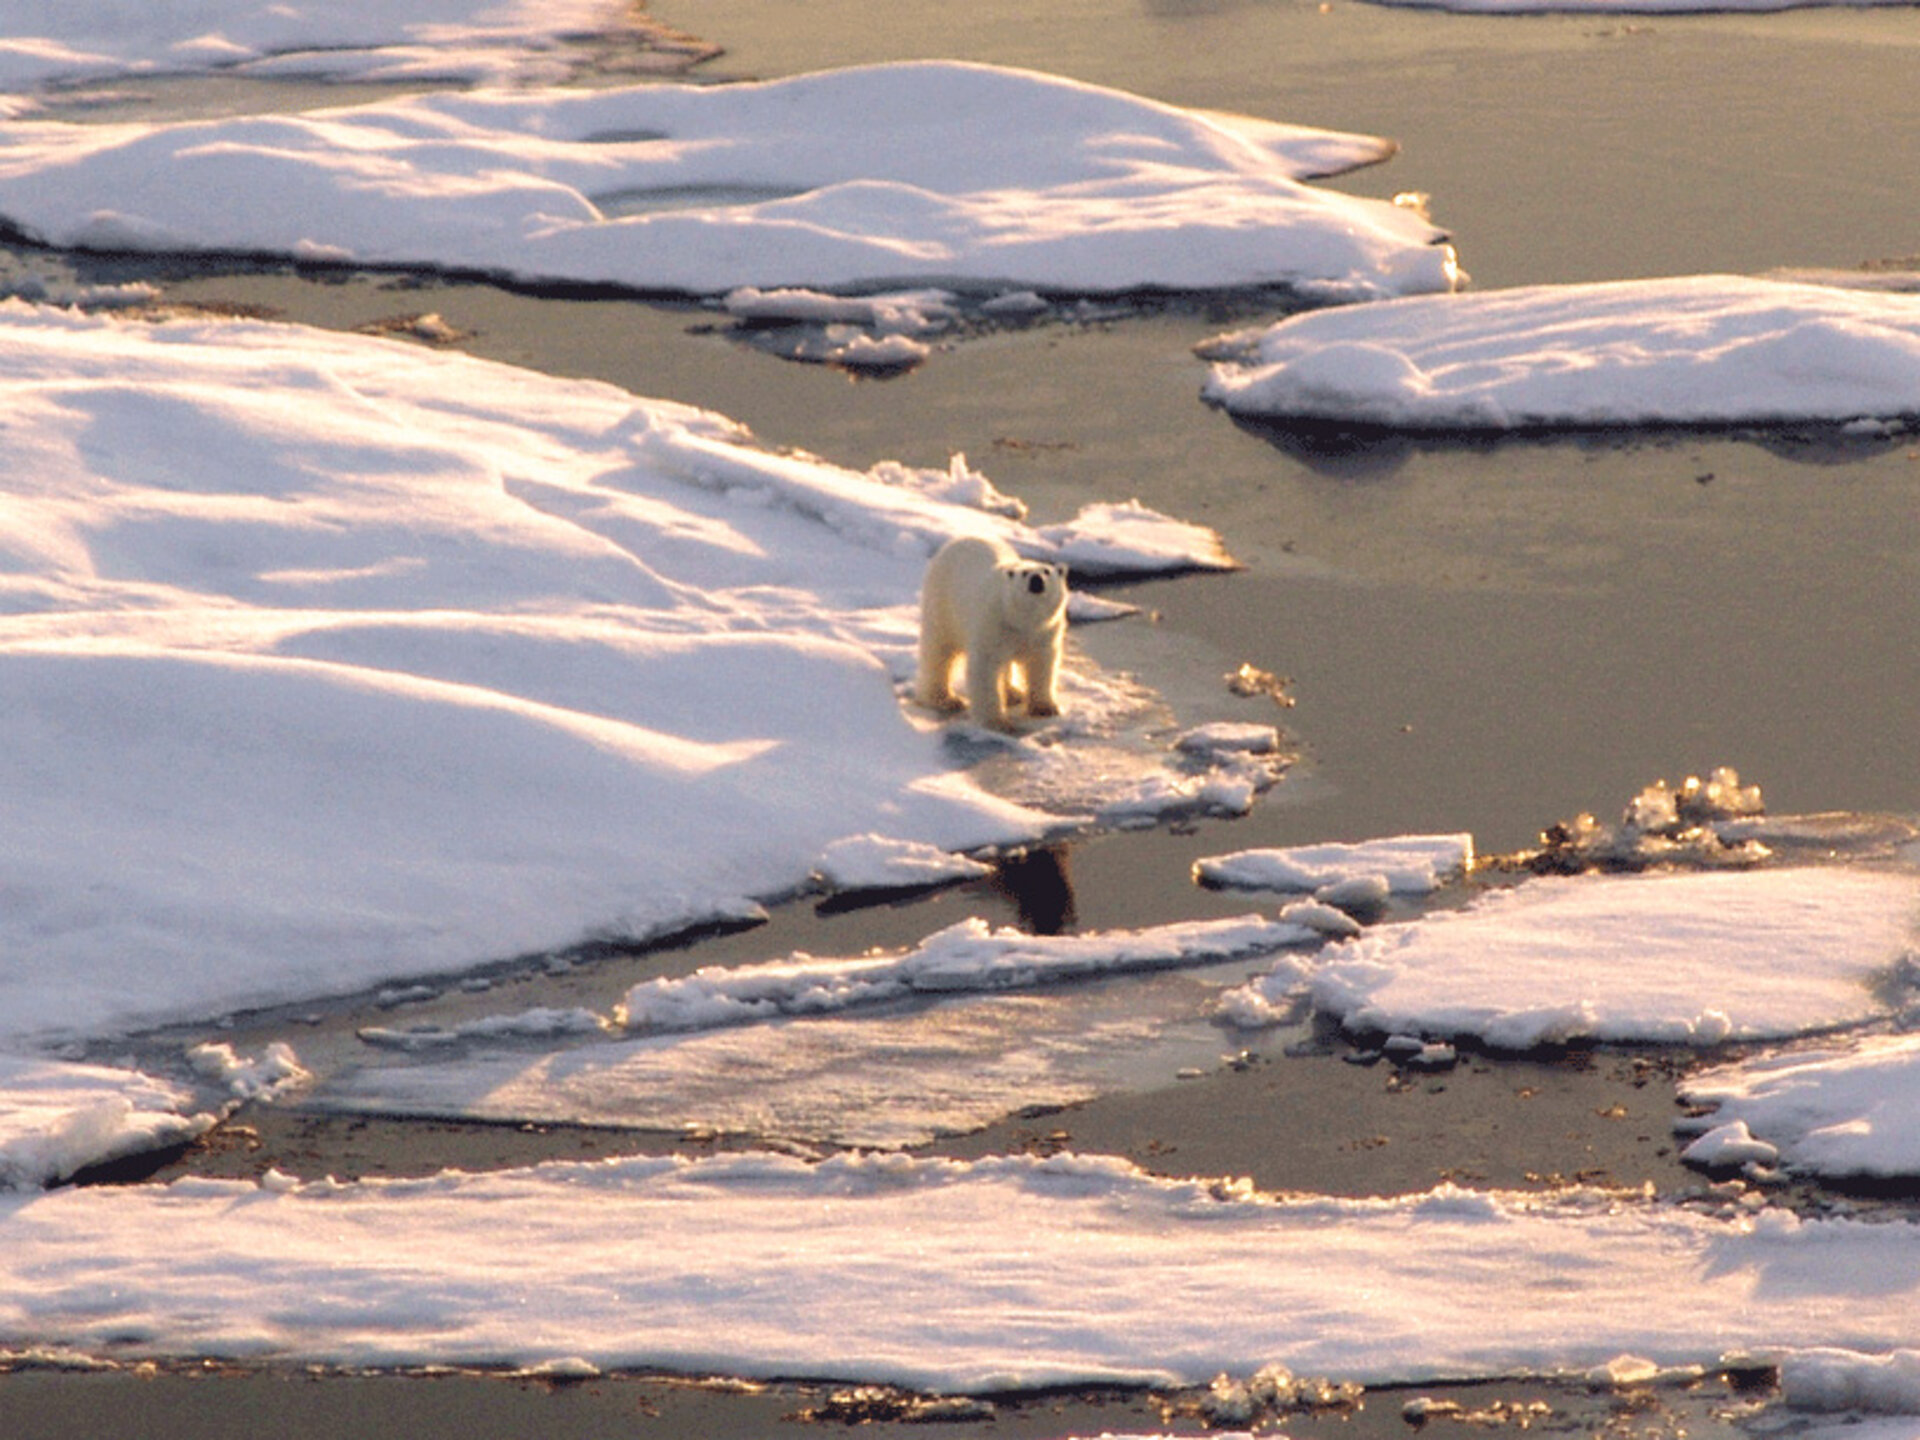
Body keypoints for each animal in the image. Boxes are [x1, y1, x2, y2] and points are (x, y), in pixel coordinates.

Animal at [914, 535, 1068, 732]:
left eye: (1047, 571)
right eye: (1024, 573)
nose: (1036, 579)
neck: (1020, 619)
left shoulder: (1045, 631)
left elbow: (1040, 664)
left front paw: (1045, 708)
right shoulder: (993, 623)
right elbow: (985, 667)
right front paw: (996, 722)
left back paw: (1012, 694)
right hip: (942, 602)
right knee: (939, 650)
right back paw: (945, 699)